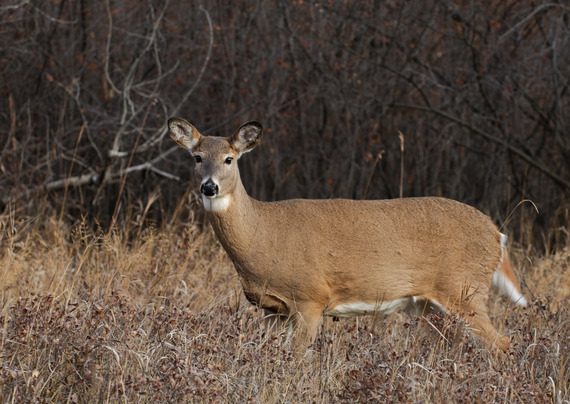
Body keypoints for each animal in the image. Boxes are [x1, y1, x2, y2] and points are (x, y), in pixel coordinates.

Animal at [166, 117, 524, 350]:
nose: (209, 186)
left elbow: (297, 360)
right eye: (197, 157)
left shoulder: (310, 298)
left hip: (465, 289)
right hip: (429, 306)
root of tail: (497, 235)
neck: (263, 235)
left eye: (229, 159)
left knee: (502, 344)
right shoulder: (272, 309)